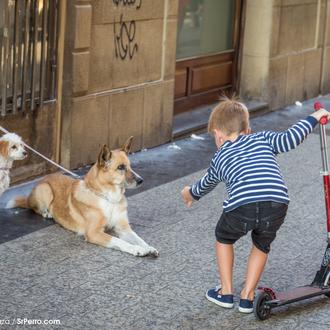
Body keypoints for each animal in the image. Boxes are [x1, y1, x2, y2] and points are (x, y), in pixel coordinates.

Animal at [9, 137, 159, 258]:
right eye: (121, 167)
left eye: (130, 166)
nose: (141, 180)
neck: (109, 199)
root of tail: (44, 178)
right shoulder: (94, 233)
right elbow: (119, 241)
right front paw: (137, 249)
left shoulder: (123, 228)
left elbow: (139, 238)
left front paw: (148, 247)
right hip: (45, 189)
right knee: (35, 208)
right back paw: (47, 213)